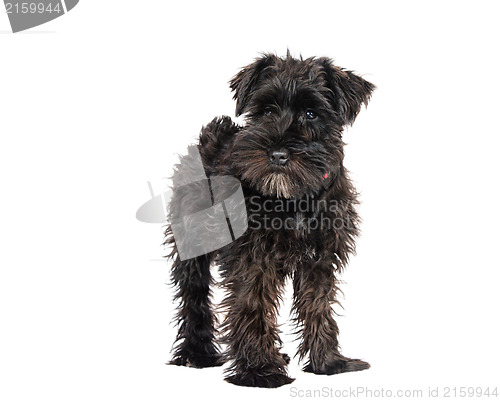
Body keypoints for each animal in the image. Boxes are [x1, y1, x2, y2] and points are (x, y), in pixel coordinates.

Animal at [165, 51, 376, 386]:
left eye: (311, 114)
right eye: (265, 111)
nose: (277, 154)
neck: (294, 200)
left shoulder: (319, 260)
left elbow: (319, 306)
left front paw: (328, 362)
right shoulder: (252, 259)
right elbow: (253, 307)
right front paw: (259, 371)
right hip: (191, 245)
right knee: (194, 298)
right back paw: (197, 354)